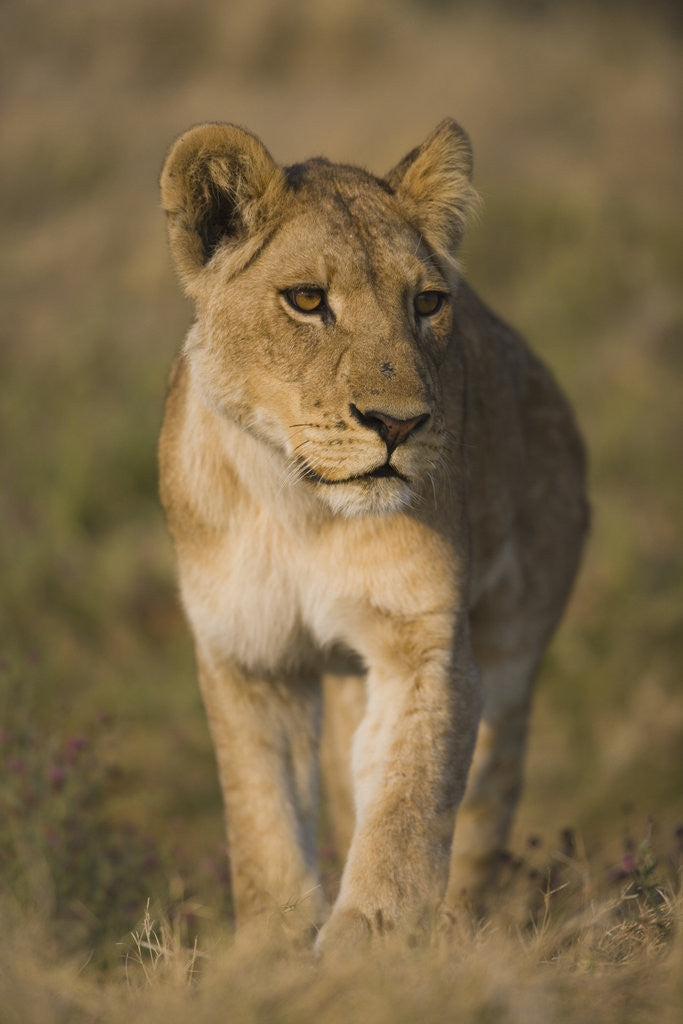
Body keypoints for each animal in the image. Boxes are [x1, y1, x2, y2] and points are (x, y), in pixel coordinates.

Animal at [158, 119, 588, 951]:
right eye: (305, 300)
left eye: (426, 302)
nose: (398, 424)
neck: (297, 506)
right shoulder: (249, 657)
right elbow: (262, 822)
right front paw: (270, 954)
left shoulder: (422, 643)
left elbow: (404, 813)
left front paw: (367, 948)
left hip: (513, 646)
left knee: (480, 807)